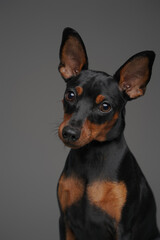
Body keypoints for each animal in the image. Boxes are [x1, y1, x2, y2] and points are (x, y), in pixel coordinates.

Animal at [57, 27, 159, 240]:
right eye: (70, 95)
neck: (91, 155)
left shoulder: (123, 228)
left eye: (105, 106)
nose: (69, 133)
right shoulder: (65, 221)